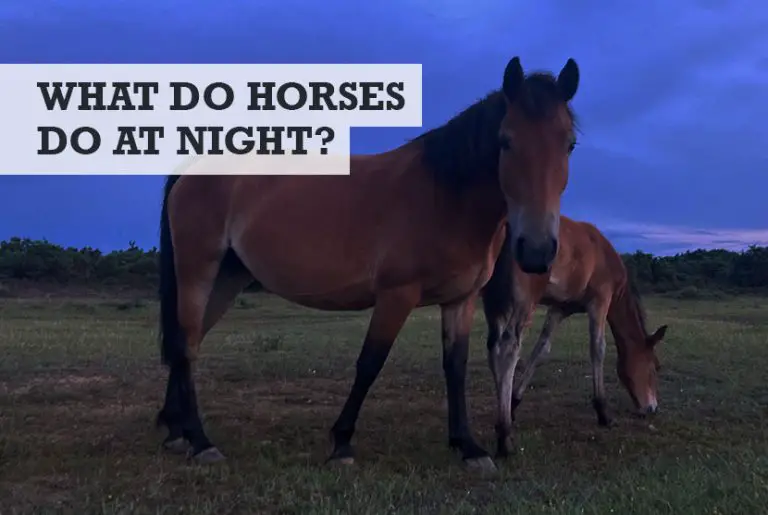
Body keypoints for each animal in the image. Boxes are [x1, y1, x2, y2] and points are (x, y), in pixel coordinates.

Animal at [155, 56, 581, 473]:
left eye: (570, 144)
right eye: (505, 141)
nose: (537, 250)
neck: (444, 195)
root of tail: (192, 171)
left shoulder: (460, 300)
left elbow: (455, 367)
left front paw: (468, 446)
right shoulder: (396, 295)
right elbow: (370, 363)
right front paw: (342, 442)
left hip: (226, 278)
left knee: (185, 342)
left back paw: (177, 432)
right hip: (197, 271)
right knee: (187, 344)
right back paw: (201, 441)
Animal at [482, 216, 668, 457]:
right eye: (655, 367)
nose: (652, 407)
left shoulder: (560, 308)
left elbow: (542, 349)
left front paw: (514, 402)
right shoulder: (600, 300)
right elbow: (598, 348)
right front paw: (603, 411)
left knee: (494, 349)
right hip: (523, 303)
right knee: (508, 350)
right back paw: (504, 436)